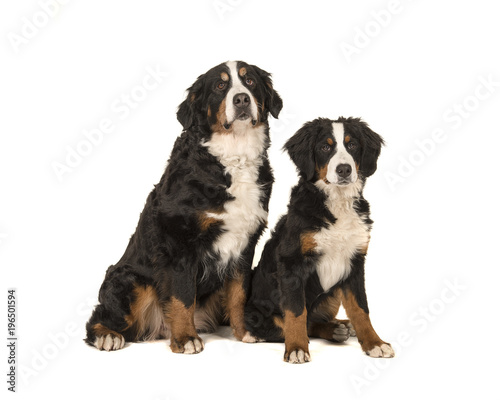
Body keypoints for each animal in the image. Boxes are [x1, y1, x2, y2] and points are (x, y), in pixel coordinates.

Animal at [84, 60, 284, 354]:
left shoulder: (245, 244)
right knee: (99, 317)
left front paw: (245, 331)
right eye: (220, 85)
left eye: (250, 82)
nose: (241, 99)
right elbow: (182, 295)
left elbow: (238, 294)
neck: (233, 158)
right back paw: (107, 336)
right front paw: (185, 338)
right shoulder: (178, 242)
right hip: (130, 278)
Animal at [245, 117, 394, 364]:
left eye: (352, 145)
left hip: (332, 293)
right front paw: (297, 348)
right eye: (325, 147)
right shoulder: (292, 263)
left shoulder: (355, 262)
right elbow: (296, 312)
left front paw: (375, 343)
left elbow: (361, 308)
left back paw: (338, 327)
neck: (337, 203)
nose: (344, 169)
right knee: (291, 324)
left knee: (314, 321)